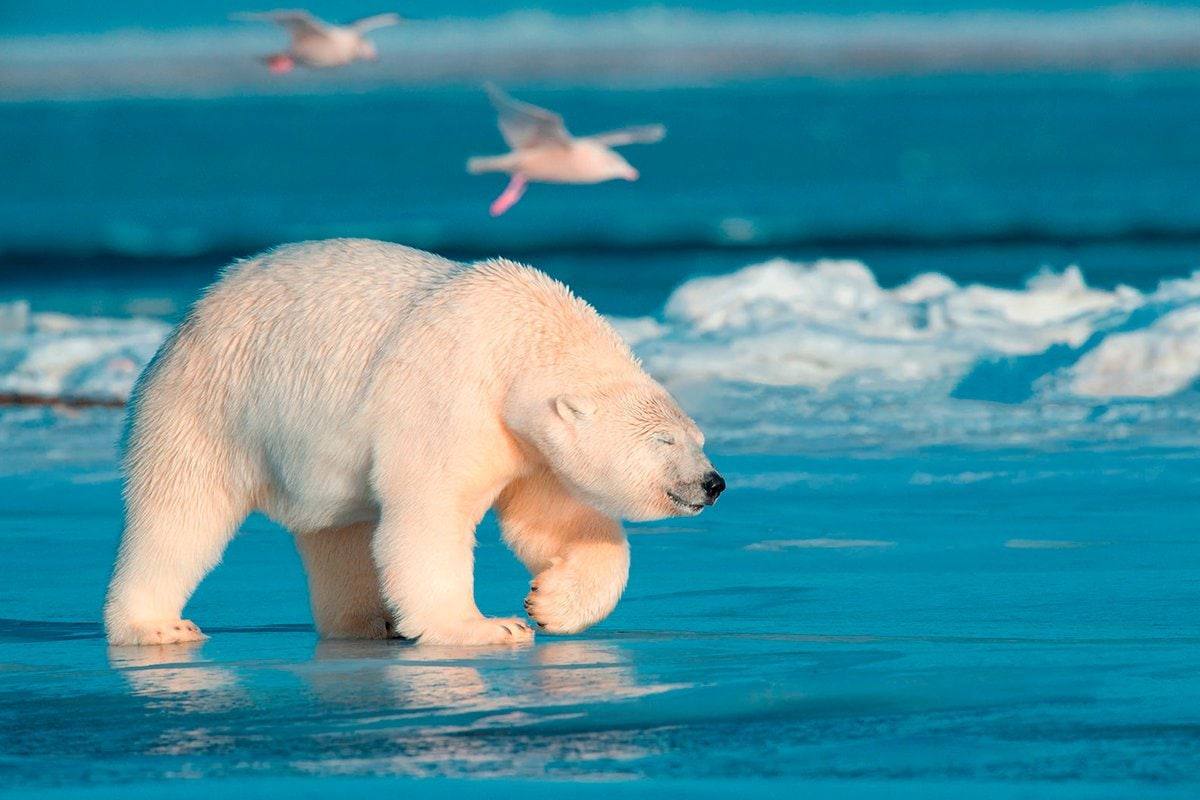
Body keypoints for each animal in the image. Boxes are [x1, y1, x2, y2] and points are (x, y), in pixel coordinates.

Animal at [105, 237, 720, 642]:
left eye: (697, 435)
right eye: (664, 442)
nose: (713, 483)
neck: (515, 340)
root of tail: (186, 321)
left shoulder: (527, 444)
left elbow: (555, 518)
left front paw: (549, 603)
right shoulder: (450, 393)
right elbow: (431, 513)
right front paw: (487, 626)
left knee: (340, 535)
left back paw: (369, 621)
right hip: (211, 407)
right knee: (181, 513)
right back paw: (156, 626)